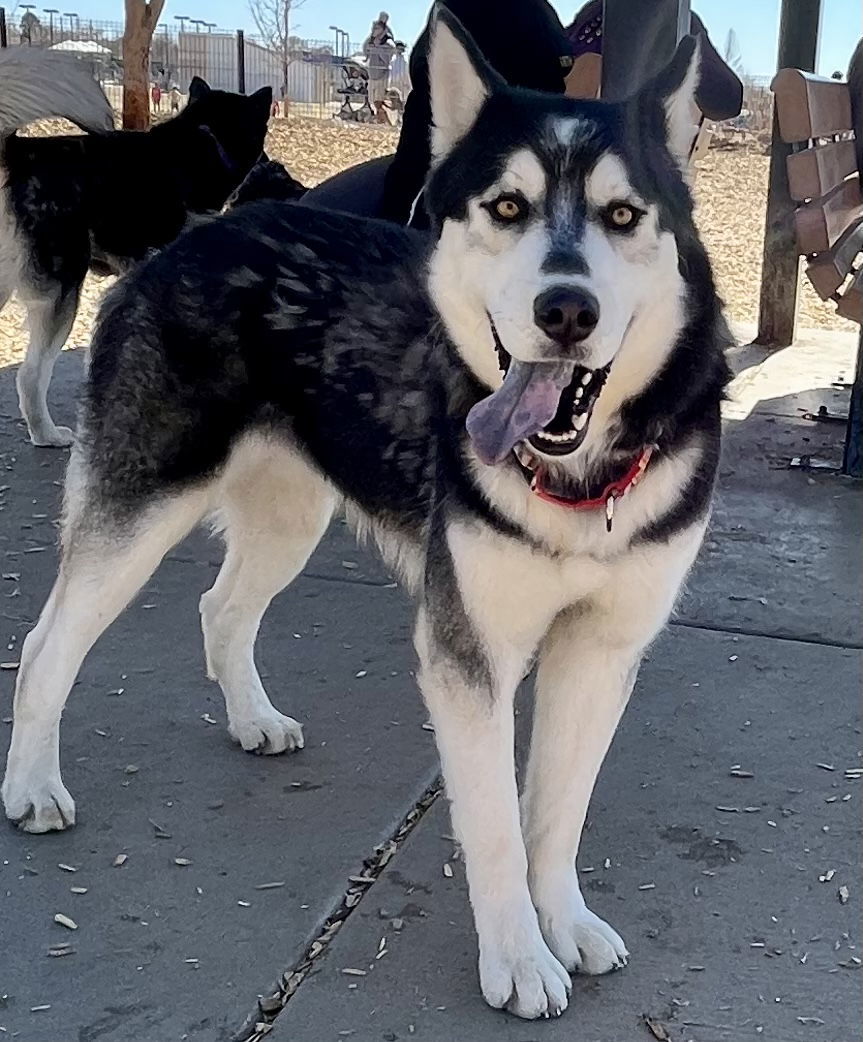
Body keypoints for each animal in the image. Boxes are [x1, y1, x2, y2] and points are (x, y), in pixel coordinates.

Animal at [0, 50, 270, 445]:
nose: (269, 163)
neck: (203, 140)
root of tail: (18, 153)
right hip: (61, 291)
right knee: (31, 375)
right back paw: (48, 434)